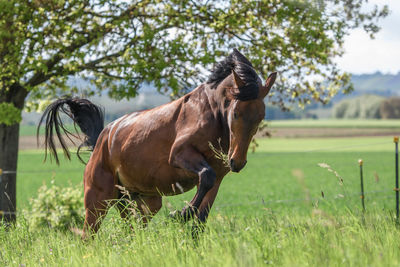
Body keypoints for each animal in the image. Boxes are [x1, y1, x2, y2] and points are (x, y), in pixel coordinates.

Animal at [39, 49, 276, 238]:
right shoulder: (180, 155)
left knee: (132, 230)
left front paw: (186, 222)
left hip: (141, 202)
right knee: (89, 235)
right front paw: (179, 215)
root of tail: (101, 139)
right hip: (97, 200)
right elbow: (205, 176)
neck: (211, 114)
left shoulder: (218, 178)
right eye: (236, 113)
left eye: (261, 117)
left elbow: (201, 219)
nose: (237, 162)